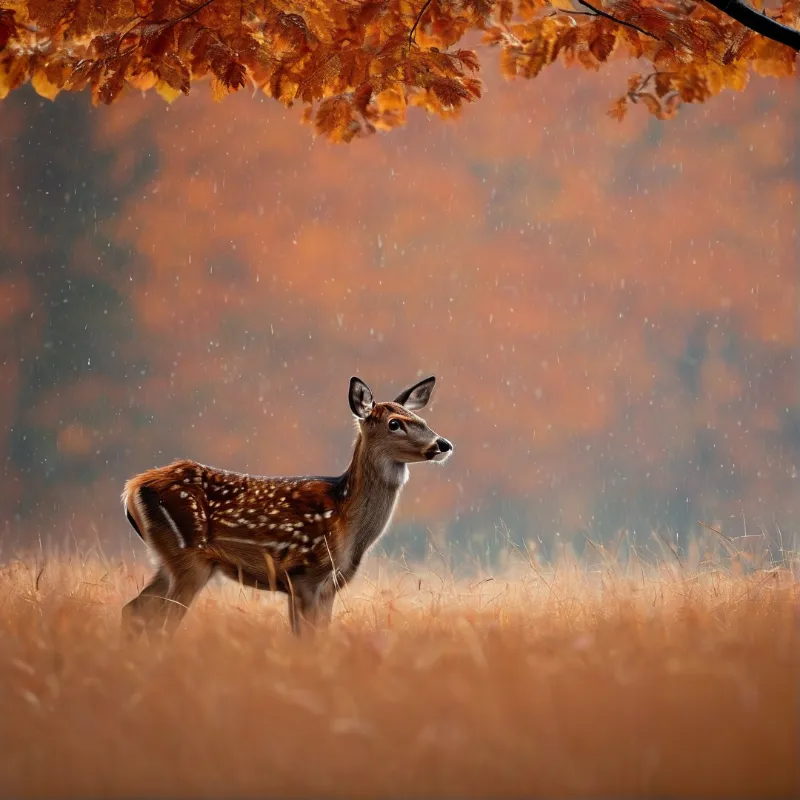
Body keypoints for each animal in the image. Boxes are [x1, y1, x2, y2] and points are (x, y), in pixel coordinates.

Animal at [120, 375, 453, 639]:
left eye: (423, 421)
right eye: (394, 424)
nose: (443, 444)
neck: (346, 521)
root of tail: (131, 489)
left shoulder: (329, 586)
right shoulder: (304, 574)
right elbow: (304, 639)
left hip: (169, 561)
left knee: (133, 610)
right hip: (189, 558)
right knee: (162, 621)